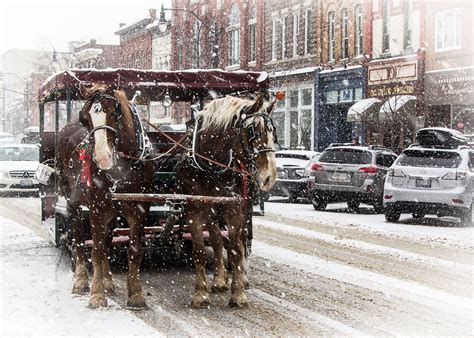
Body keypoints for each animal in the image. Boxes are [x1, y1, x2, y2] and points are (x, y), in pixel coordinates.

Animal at [56, 84, 154, 308]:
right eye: (85, 118)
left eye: (114, 113)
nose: (102, 157)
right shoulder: (96, 208)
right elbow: (97, 250)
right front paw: (97, 294)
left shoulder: (141, 208)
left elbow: (134, 249)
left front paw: (136, 294)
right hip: (73, 202)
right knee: (79, 238)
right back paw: (81, 280)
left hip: (113, 210)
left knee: (108, 239)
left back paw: (108, 281)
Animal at [176, 93, 276, 308]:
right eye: (253, 131)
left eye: (274, 133)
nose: (270, 177)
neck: (212, 166)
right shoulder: (195, 209)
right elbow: (200, 250)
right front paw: (201, 293)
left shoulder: (235, 208)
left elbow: (236, 249)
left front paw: (238, 294)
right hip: (213, 210)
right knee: (216, 239)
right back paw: (220, 279)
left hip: (245, 208)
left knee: (240, 240)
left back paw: (242, 278)